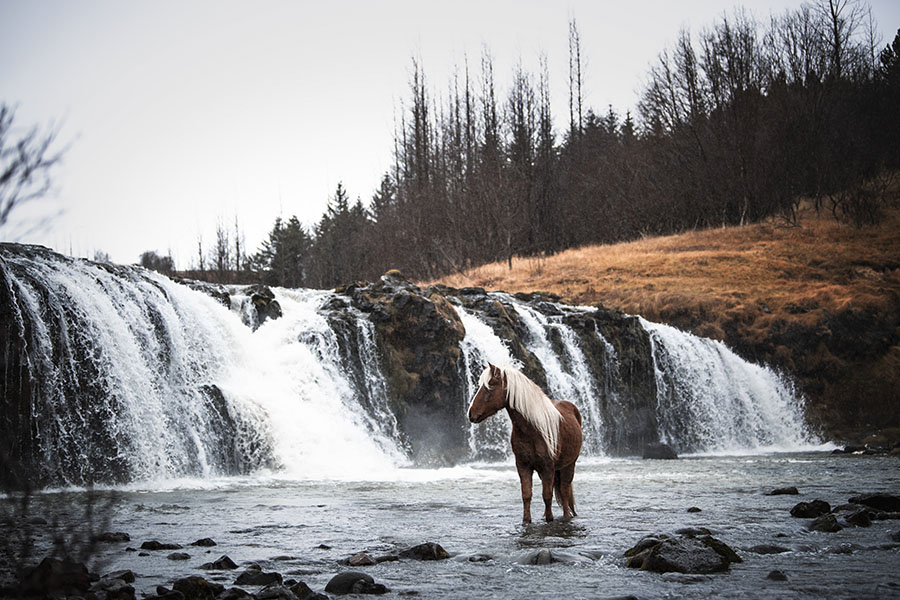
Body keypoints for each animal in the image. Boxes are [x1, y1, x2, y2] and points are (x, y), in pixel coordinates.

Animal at [468, 360, 588, 524]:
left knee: (564, 491)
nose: (471, 414)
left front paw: (549, 519)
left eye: (491, 384)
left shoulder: (548, 468)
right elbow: (526, 495)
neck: (532, 430)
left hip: (569, 465)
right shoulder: (523, 466)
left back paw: (566, 516)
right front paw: (526, 521)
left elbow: (547, 496)